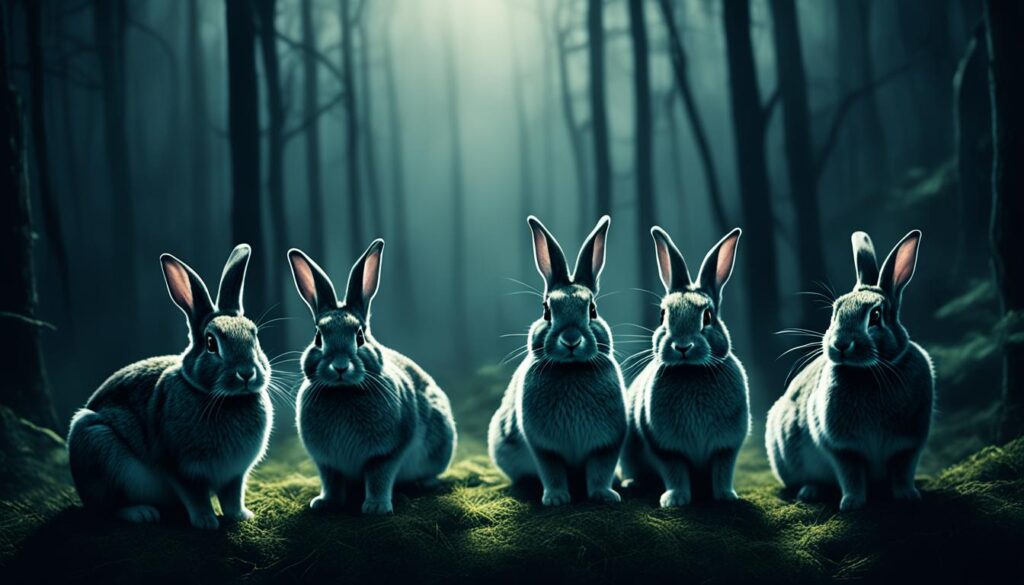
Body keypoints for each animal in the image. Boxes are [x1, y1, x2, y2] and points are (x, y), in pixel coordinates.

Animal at [66, 244, 273, 529]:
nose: (246, 373)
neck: (224, 398)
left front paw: (241, 516)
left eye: (255, 336)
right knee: (105, 508)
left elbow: (233, 496)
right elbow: (195, 496)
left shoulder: (234, 474)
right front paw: (206, 522)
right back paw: (141, 513)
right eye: (211, 343)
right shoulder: (180, 467)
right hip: (96, 443)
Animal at [288, 240, 456, 515]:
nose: (340, 367)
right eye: (318, 337)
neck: (343, 392)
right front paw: (325, 503)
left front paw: (376, 508)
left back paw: (424, 483)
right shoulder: (327, 462)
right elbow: (331, 481)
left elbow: (379, 477)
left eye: (360, 336)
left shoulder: (387, 453)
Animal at [488, 215, 627, 506]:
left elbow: (600, 471)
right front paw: (556, 499)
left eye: (592, 310)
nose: (571, 340)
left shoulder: (607, 444)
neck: (571, 370)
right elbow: (552, 472)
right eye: (546, 311)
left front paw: (605, 495)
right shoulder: (544, 447)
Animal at [618, 227, 750, 507]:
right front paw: (675, 500)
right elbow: (675, 472)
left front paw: (726, 497)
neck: (692, 372)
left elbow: (723, 471)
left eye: (708, 316)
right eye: (662, 316)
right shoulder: (666, 448)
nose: (682, 346)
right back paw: (632, 483)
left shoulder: (726, 446)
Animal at [765, 230, 934, 511]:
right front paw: (852, 503)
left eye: (875, 315)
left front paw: (908, 496)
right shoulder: (843, 449)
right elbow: (851, 475)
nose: (841, 345)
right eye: (835, 311)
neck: (869, 372)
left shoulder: (908, 445)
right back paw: (810, 491)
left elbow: (902, 472)